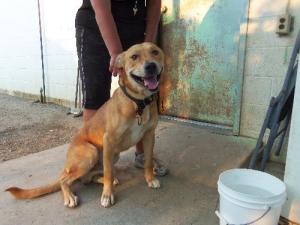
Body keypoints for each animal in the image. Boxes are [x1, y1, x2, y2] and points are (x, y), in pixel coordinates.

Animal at [5, 42, 164, 207]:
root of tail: (67, 167)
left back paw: (107, 179)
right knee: (67, 180)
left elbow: (148, 161)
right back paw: (70, 195)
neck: (138, 103)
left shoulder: (149, 136)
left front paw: (150, 179)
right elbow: (108, 172)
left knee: (89, 177)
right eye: (134, 56)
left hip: (112, 155)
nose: (151, 66)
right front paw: (107, 195)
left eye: (155, 52)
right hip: (91, 152)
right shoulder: (109, 140)